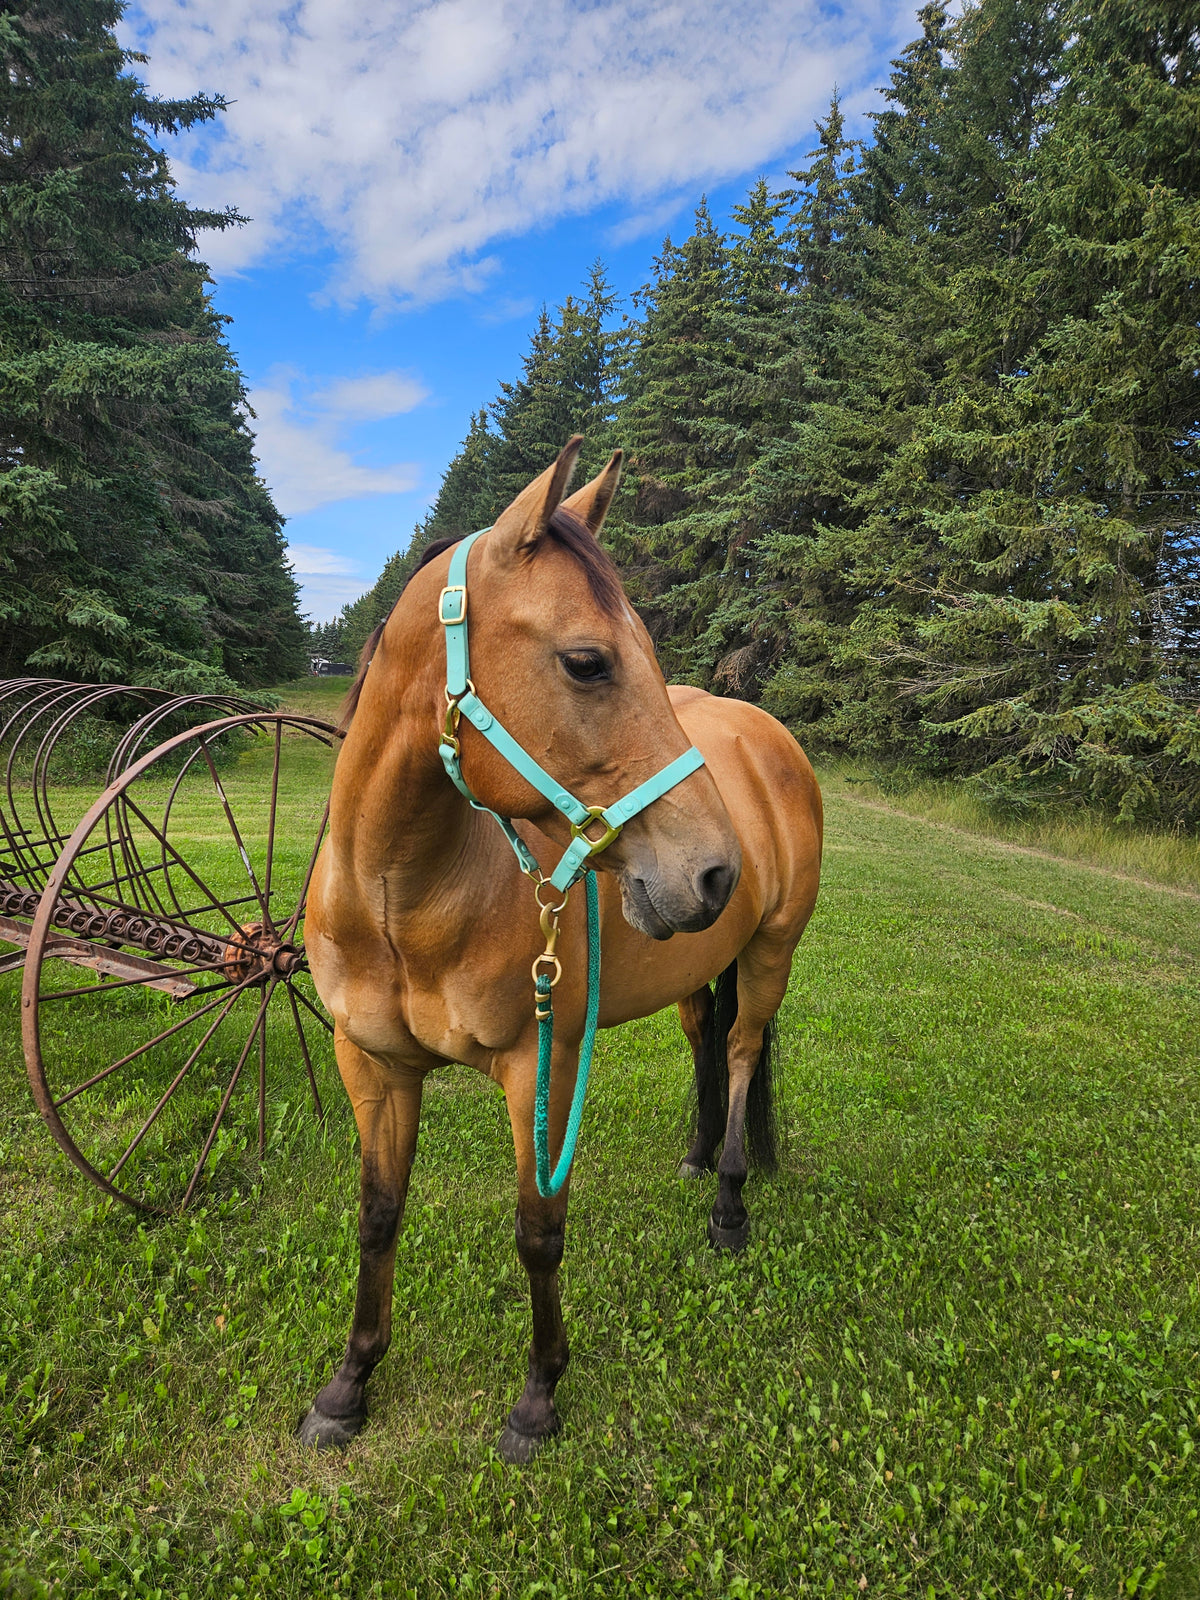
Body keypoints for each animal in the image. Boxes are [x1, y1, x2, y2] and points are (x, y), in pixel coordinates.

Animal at [301, 437, 822, 1462]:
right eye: (587, 663)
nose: (716, 873)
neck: (401, 898)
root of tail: (766, 734)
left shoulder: (539, 1064)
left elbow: (539, 1230)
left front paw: (539, 1397)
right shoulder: (371, 1064)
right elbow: (377, 1218)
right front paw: (349, 1384)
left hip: (771, 953)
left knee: (744, 1051)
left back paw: (729, 1202)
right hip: (698, 969)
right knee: (708, 1044)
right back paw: (698, 1155)